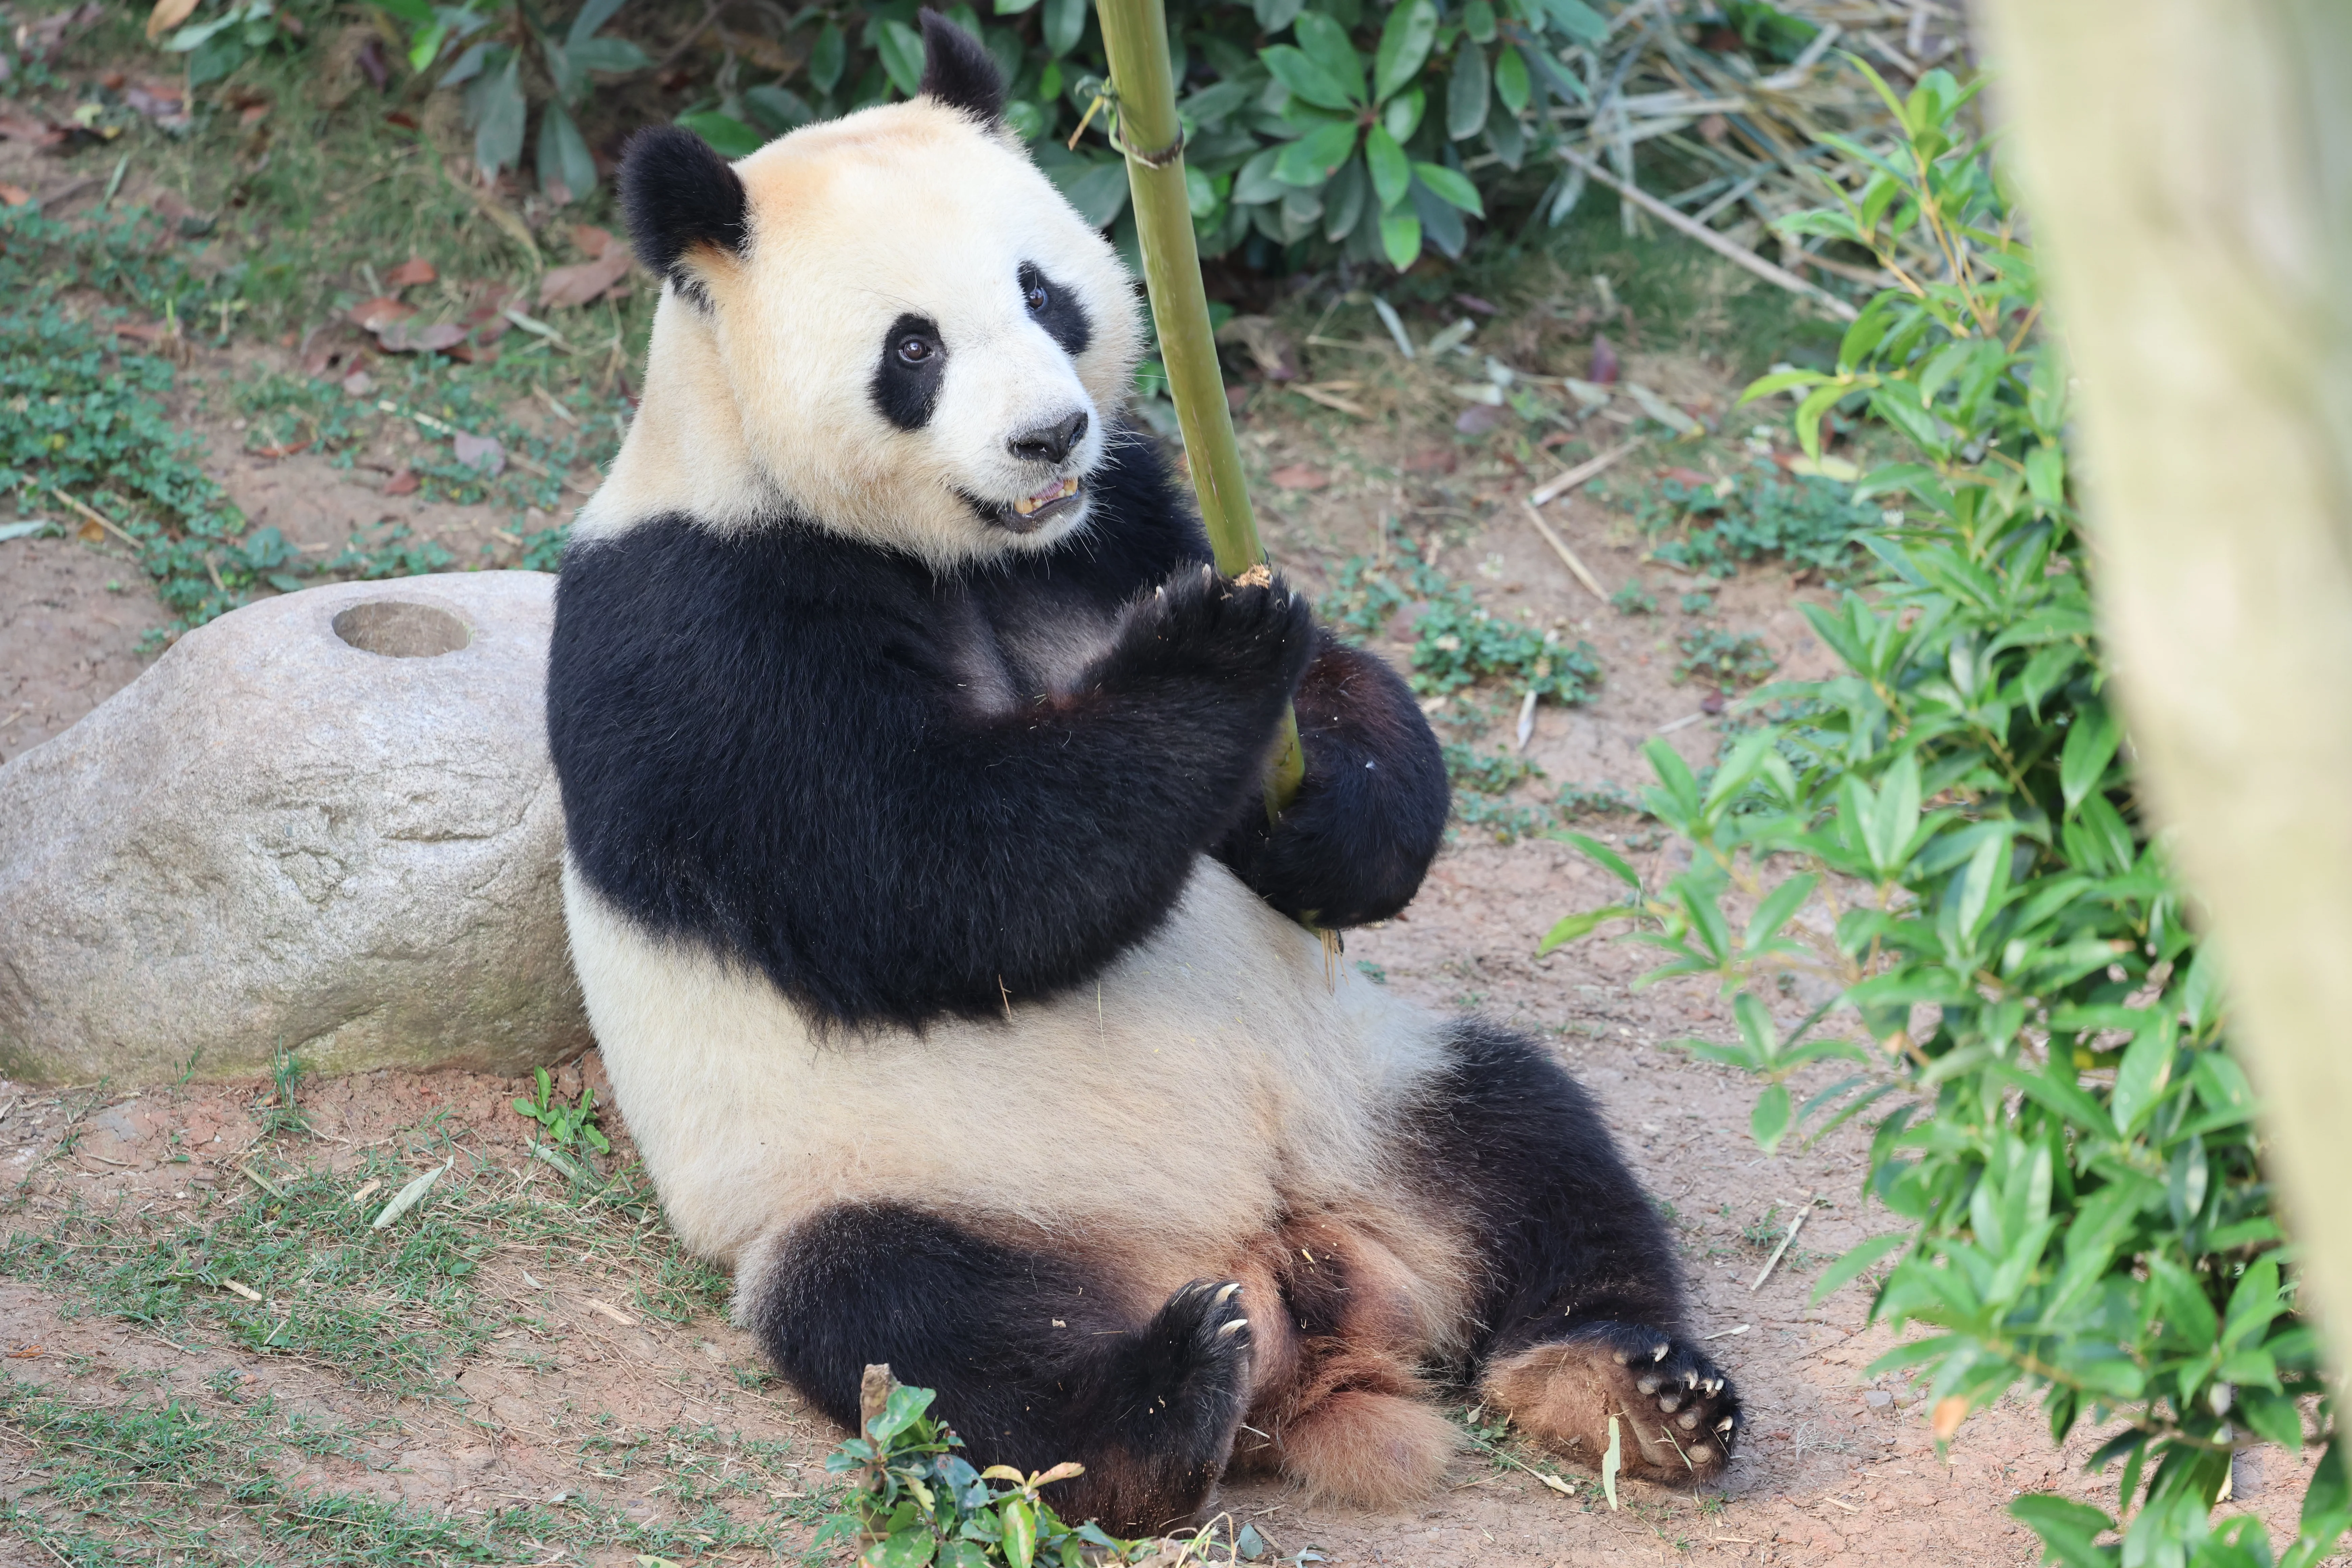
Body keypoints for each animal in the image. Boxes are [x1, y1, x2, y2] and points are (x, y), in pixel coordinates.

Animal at [546, 12, 1738, 1536]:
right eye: (913, 347)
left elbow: (1338, 705)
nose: (1049, 436)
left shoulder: (1120, 515)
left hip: (1371, 1089)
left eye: (1044, 294)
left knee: (1533, 1137)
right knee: (915, 1325)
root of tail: (1297, 1281)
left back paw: (1631, 1387)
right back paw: (1166, 1401)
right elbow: (926, 875)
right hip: (904, 1180)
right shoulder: (705, 618)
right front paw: (1210, 654)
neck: (963, 553)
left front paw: (1312, 811)